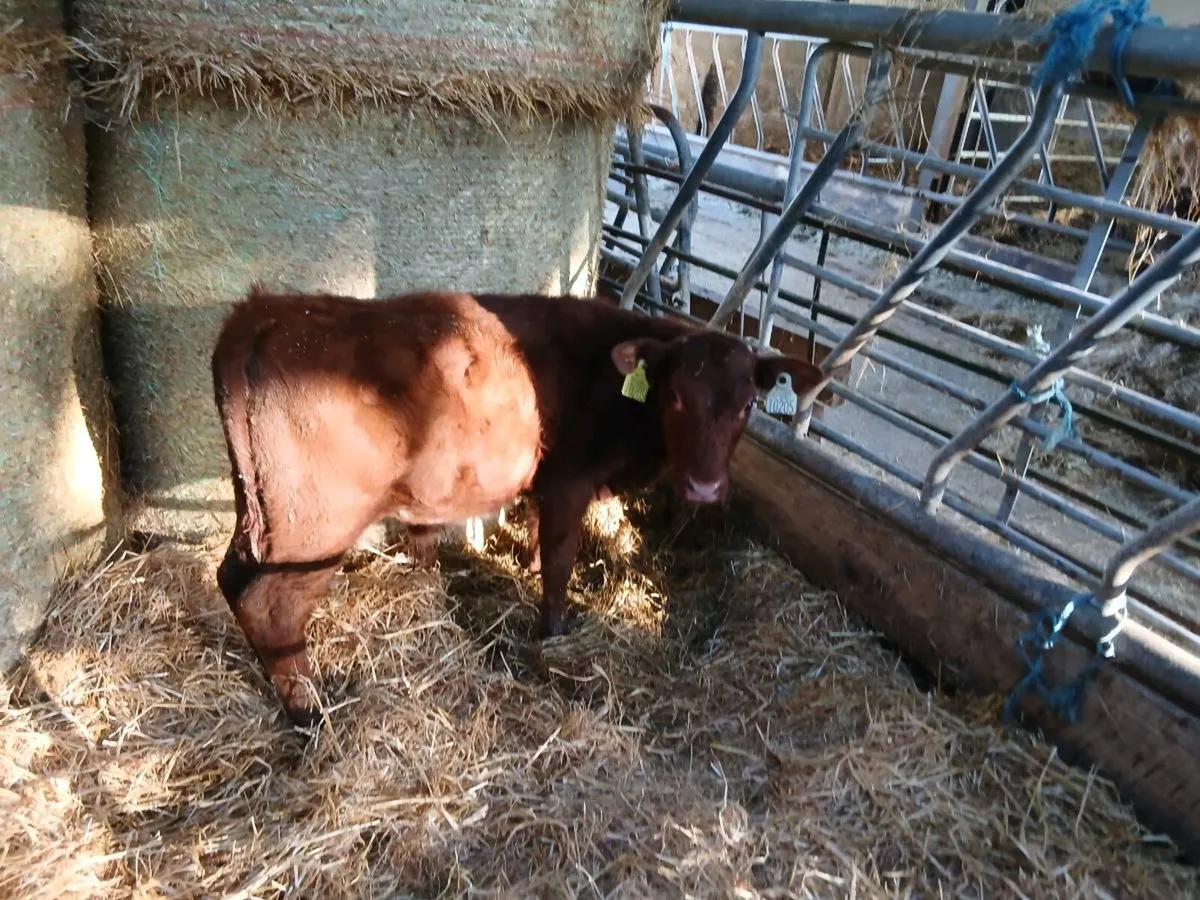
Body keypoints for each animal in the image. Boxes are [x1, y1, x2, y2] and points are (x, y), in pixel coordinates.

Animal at [211, 286, 824, 726]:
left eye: (747, 405)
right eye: (674, 396)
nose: (703, 486)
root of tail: (265, 312)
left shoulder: (546, 483)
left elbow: (535, 535)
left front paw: (527, 573)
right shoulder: (571, 481)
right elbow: (559, 559)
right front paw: (552, 633)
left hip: (258, 511)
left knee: (232, 578)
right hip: (314, 526)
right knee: (271, 605)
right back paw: (307, 711)